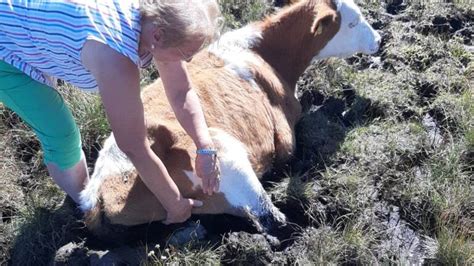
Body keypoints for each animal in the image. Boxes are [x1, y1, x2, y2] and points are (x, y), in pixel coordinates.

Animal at [78, 0, 382, 237]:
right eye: (353, 22)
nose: (379, 39)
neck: (263, 55)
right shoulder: (285, 137)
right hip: (226, 160)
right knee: (270, 219)